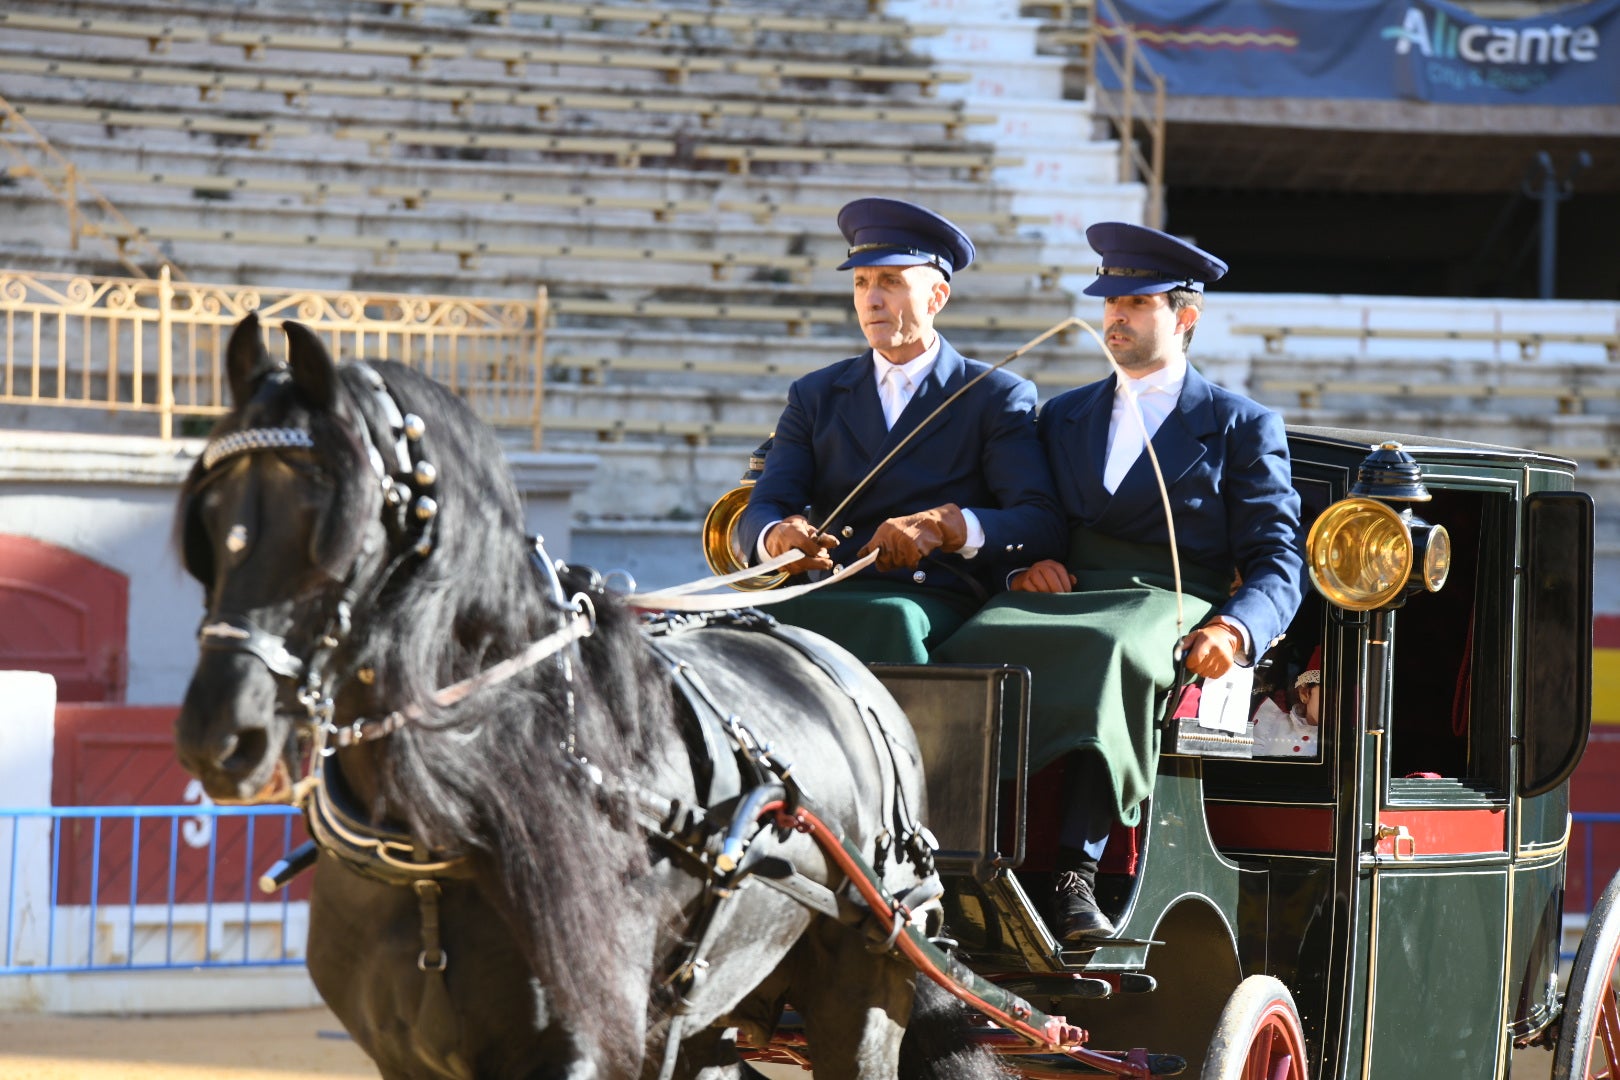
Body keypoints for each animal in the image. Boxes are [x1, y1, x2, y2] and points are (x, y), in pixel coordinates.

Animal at [167, 314, 997, 1080]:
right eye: (208, 518)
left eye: (336, 530)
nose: (220, 734)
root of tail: (842, 669)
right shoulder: (405, 1056)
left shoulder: (577, 1047)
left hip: (863, 988)